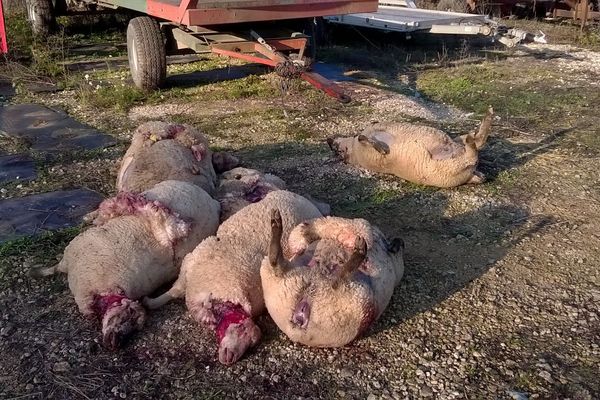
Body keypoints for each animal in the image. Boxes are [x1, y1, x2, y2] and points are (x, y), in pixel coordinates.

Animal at [29, 180, 219, 348]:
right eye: (127, 316)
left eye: (135, 324)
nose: (116, 344)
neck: (100, 293)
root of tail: (212, 201)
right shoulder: (69, 261)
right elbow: (53, 268)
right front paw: (36, 272)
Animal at [144, 191, 324, 366]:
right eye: (240, 329)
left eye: (252, 344)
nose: (230, 358)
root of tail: (307, 202)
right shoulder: (188, 267)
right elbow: (173, 291)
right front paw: (150, 302)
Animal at [328, 106, 492, 188]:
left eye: (336, 150)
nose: (329, 141)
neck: (353, 151)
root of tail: (471, 175)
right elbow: (365, 139)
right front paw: (383, 149)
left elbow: (365, 136)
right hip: (449, 166)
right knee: (474, 149)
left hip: (456, 143)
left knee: (474, 143)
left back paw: (485, 119)